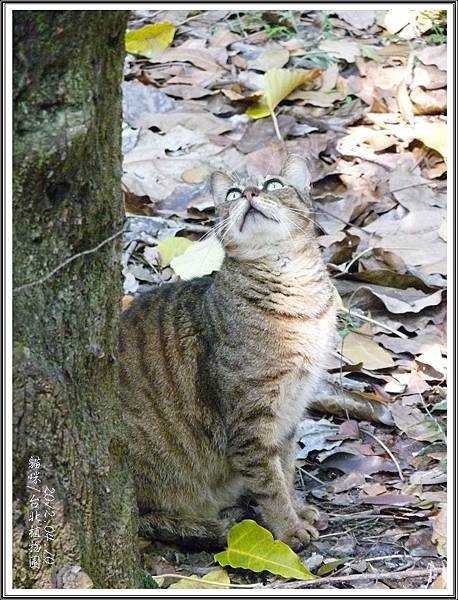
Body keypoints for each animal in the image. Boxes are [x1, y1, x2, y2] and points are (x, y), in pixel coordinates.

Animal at [120, 154, 338, 548]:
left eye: (272, 184)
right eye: (234, 193)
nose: (249, 193)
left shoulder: (289, 412)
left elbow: (286, 469)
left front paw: (298, 510)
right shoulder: (250, 421)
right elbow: (270, 485)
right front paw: (288, 529)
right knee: (147, 519)